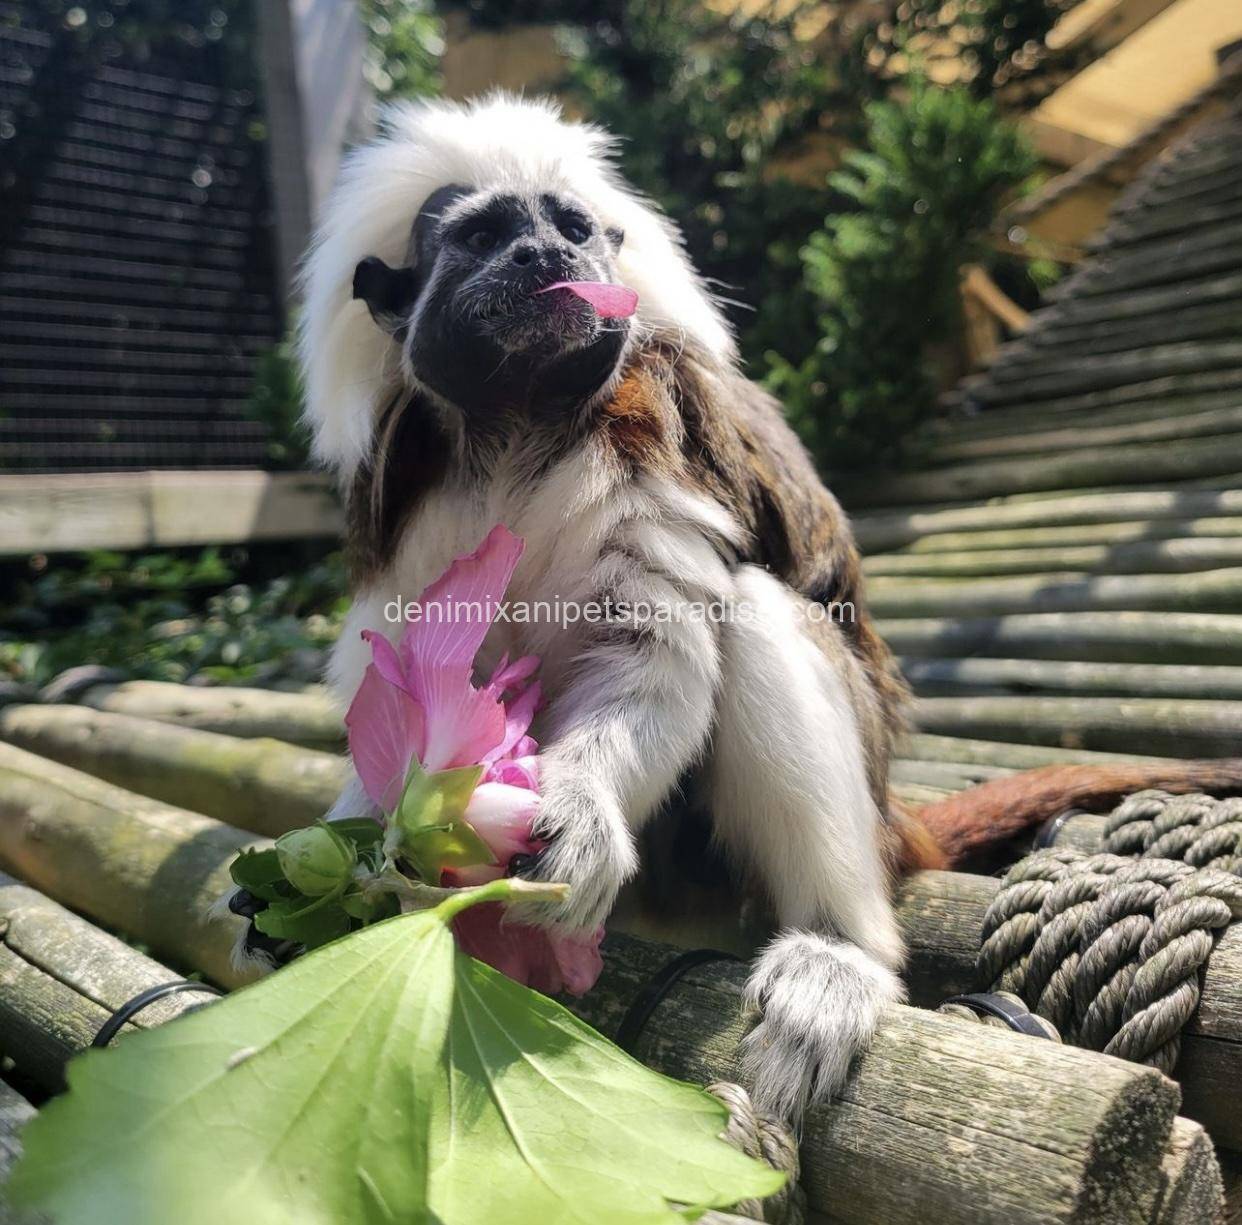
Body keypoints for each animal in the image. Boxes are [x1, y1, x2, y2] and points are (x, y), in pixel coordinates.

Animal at [298, 94, 1242, 1121]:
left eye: (571, 228)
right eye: (483, 237)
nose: (544, 257)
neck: (516, 426)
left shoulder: (656, 432)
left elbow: (655, 649)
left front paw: (579, 807)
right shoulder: (409, 490)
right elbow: (401, 676)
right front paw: (346, 854)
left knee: (752, 612)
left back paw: (839, 949)